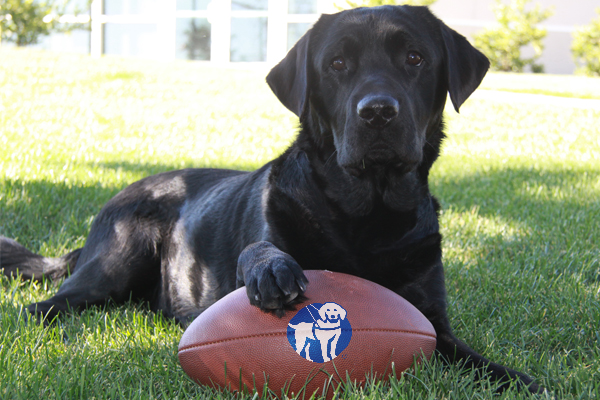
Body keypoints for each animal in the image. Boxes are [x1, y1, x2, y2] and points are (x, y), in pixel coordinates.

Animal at [1, 5, 544, 394]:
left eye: (415, 58)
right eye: (338, 64)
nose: (377, 112)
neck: (365, 214)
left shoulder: (432, 321)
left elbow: (477, 360)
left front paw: (521, 380)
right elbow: (261, 250)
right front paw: (272, 270)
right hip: (111, 266)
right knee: (47, 305)